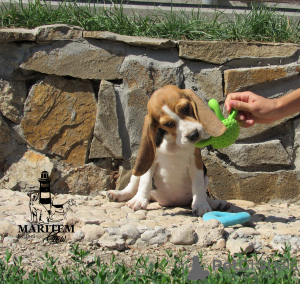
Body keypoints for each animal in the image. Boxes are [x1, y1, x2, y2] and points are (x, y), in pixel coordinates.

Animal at [108, 85, 230, 216]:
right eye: (168, 123)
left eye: (186, 108)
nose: (193, 135)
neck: (174, 143)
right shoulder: (150, 163)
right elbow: (145, 182)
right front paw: (139, 200)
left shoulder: (196, 162)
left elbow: (198, 185)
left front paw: (201, 205)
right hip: (137, 171)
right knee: (132, 187)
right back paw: (118, 194)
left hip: (205, 175)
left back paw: (216, 203)